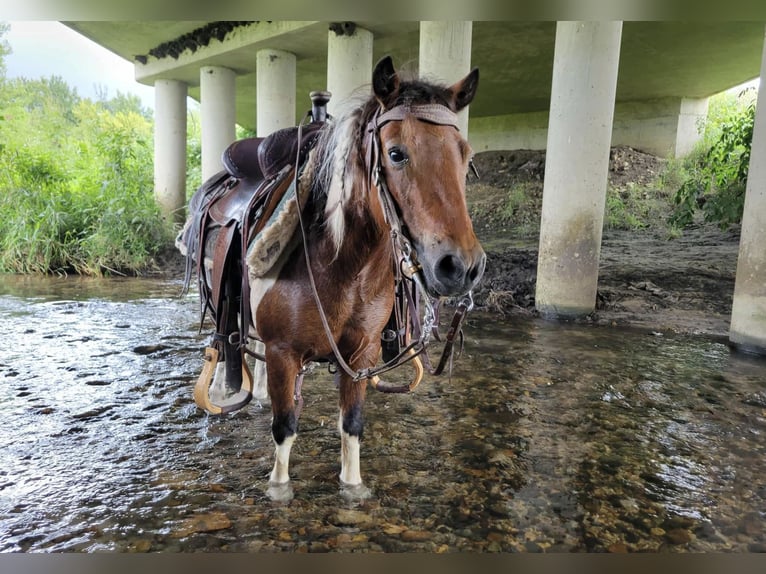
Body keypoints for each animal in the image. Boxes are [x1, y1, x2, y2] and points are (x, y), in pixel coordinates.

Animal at [177, 56, 486, 500]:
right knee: (227, 341)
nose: (460, 267)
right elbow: (285, 426)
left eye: (466, 157)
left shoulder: (361, 353)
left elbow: (351, 424)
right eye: (396, 153)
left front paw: (352, 486)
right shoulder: (284, 351)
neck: (343, 267)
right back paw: (224, 389)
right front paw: (279, 487)